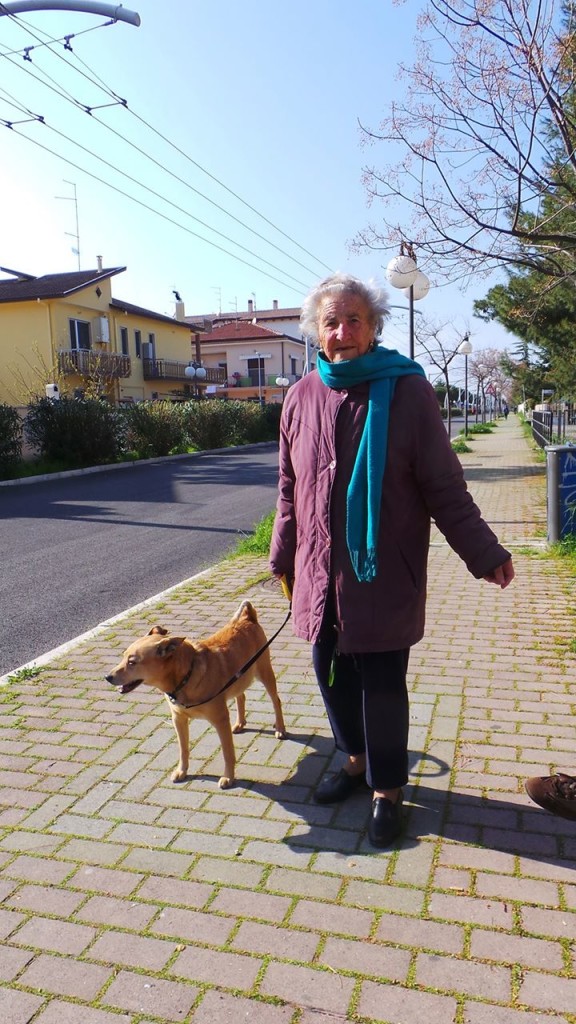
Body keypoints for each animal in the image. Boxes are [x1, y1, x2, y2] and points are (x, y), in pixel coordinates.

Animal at [105, 598, 284, 790]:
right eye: (123, 656)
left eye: (132, 662)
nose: (107, 677)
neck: (185, 677)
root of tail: (247, 617)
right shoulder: (178, 719)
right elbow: (183, 749)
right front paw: (181, 771)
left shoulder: (220, 720)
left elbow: (228, 753)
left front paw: (228, 777)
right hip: (239, 679)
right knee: (241, 696)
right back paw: (240, 723)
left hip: (265, 673)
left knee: (276, 701)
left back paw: (280, 728)